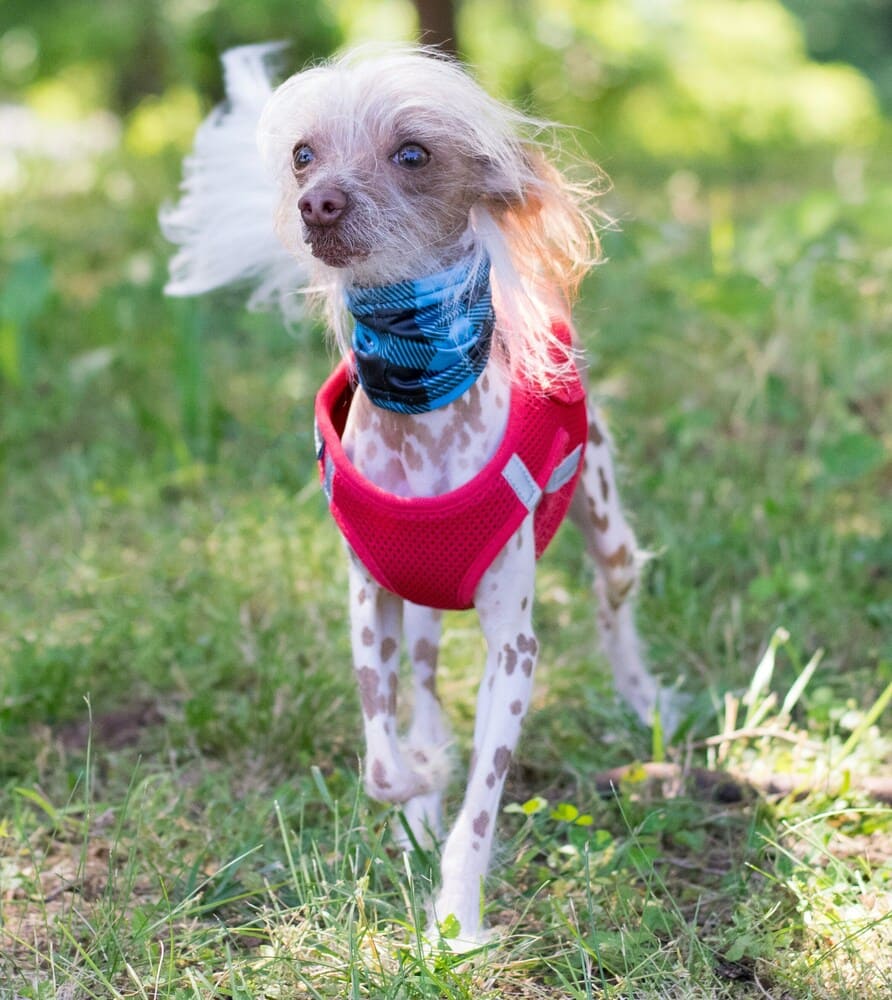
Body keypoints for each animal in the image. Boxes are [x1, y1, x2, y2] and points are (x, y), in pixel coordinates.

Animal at [160, 45, 676, 952]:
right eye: (303, 154)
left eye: (412, 153)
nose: (317, 201)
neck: (420, 409)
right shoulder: (370, 602)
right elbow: (381, 756)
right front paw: (418, 788)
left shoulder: (515, 648)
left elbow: (482, 806)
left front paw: (457, 920)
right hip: (424, 613)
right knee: (429, 692)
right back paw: (425, 787)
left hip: (607, 532)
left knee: (614, 610)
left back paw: (644, 704)